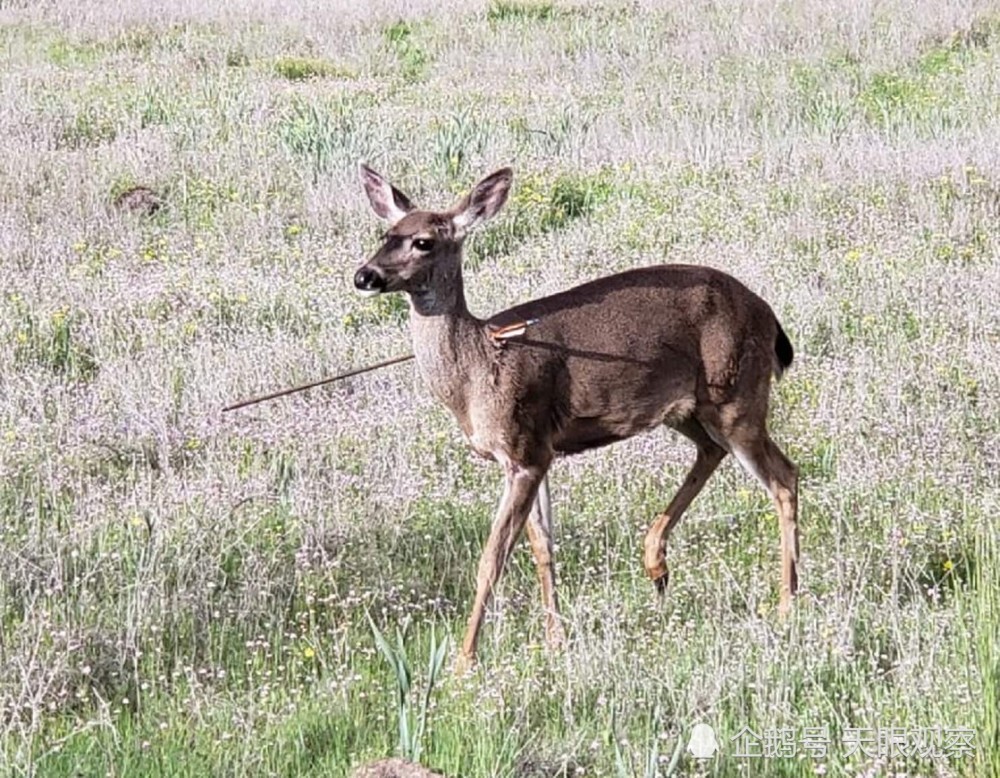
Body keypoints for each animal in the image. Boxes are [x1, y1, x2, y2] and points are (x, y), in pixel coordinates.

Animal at [356, 162, 800, 668]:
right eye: (386, 234)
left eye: (423, 241)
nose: (364, 275)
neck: (477, 368)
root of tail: (768, 314)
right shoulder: (535, 451)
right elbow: (542, 547)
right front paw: (556, 639)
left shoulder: (524, 448)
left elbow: (492, 558)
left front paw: (464, 661)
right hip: (689, 408)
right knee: (713, 452)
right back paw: (657, 563)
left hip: (737, 395)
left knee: (784, 477)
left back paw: (786, 603)